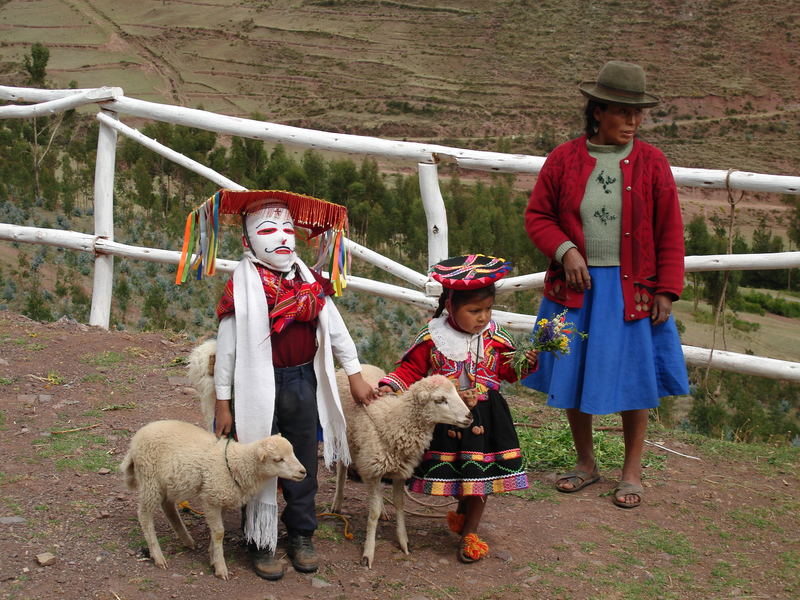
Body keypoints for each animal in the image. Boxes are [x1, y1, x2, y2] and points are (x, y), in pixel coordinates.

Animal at [119, 420, 306, 580]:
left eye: (293, 452)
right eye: (278, 459)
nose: (303, 472)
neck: (236, 463)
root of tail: (135, 440)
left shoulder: (218, 497)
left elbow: (215, 530)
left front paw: (213, 557)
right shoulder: (211, 498)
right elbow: (218, 533)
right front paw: (221, 567)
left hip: (168, 481)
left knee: (168, 506)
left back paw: (187, 540)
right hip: (149, 478)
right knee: (144, 515)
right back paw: (157, 556)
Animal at [332, 366, 472, 568]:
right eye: (440, 400)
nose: (470, 417)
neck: (394, 421)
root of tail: (363, 365)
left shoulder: (399, 472)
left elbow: (399, 505)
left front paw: (403, 542)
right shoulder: (371, 471)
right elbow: (372, 514)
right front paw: (368, 553)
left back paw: (383, 509)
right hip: (341, 437)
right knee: (342, 467)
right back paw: (337, 503)